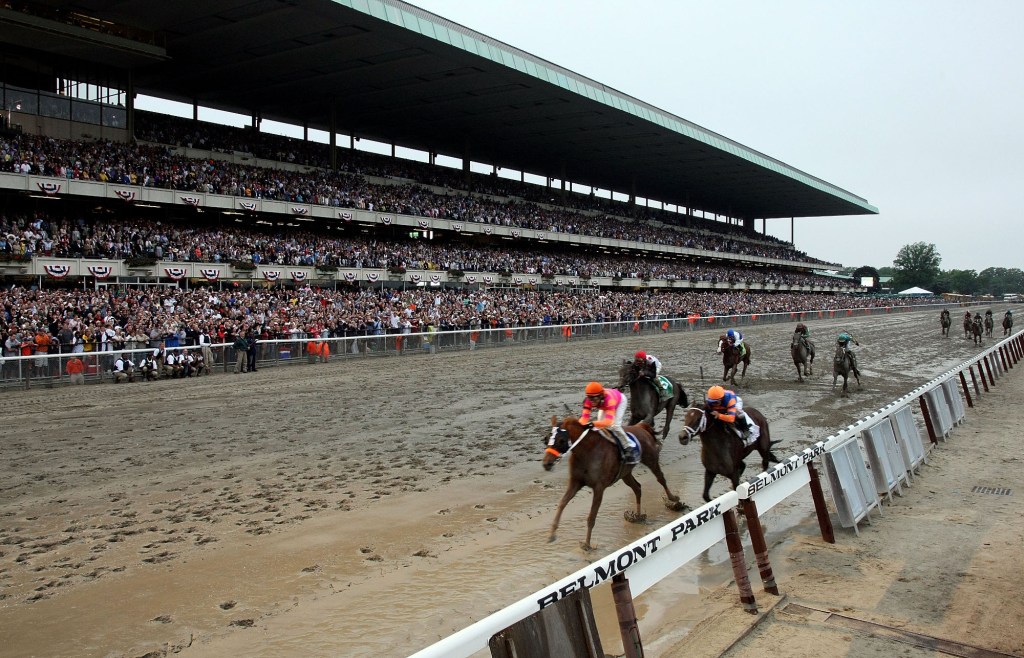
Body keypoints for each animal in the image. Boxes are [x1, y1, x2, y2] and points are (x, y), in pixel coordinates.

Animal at [540, 417, 684, 552]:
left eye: (561, 440)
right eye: (547, 438)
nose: (546, 464)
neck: (587, 450)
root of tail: (641, 426)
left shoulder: (599, 488)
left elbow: (591, 517)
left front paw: (587, 544)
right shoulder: (575, 483)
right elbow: (562, 503)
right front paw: (551, 535)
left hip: (651, 460)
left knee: (661, 479)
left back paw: (673, 500)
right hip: (625, 474)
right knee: (637, 488)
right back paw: (637, 516)